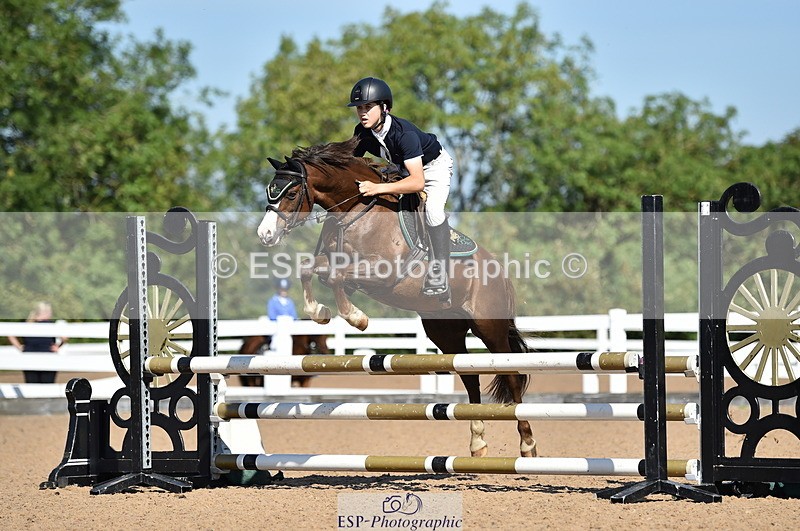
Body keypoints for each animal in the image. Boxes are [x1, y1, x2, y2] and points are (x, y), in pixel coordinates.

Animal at [256, 136, 535, 458]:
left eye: (290, 194)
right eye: (270, 191)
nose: (265, 234)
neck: (355, 210)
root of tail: (501, 272)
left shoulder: (383, 273)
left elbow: (337, 278)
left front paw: (357, 319)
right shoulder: (334, 263)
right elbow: (309, 269)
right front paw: (321, 313)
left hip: (489, 327)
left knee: (512, 375)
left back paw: (528, 445)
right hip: (445, 331)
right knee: (469, 376)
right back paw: (477, 443)